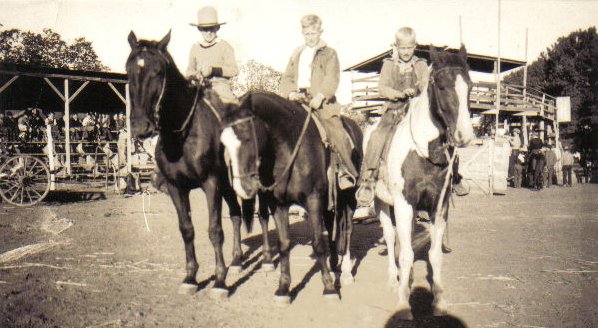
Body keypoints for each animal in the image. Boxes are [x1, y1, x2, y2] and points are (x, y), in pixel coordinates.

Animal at [127, 32, 276, 298]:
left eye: (158, 72)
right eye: (129, 70)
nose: (141, 127)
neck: (183, 135)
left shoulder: (211, 184)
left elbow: (214, 231)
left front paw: (219, 281)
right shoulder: (176, 187)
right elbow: (187, 229)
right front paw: (190, 277)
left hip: (259, 182)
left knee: (264, 215)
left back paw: (268, 260)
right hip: (230, 186)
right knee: (236, 215)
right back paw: (237, 261)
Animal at [219, 91, 364, 304]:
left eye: (246, 137)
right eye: (223, 143)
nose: (242, 188)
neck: (289, 149)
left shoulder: (313, 200)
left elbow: (318, 243)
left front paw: (329, 288)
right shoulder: (279, 205)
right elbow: (284, 244)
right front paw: (283, 288)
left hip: (349, 197)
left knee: (347, 230)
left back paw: (345, 272)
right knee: (332, 225)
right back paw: (333, 263)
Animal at [372, 44, 476, 320]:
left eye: (470, 86)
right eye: (441, 86)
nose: (464, 136)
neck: (423, 154)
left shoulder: (439, 206)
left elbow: (434, 255)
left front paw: (438, 301)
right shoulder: (404, 204)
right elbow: (407, 254)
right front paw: (403, 303)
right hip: (381, 203)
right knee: (390, 238)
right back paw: (392, 280)